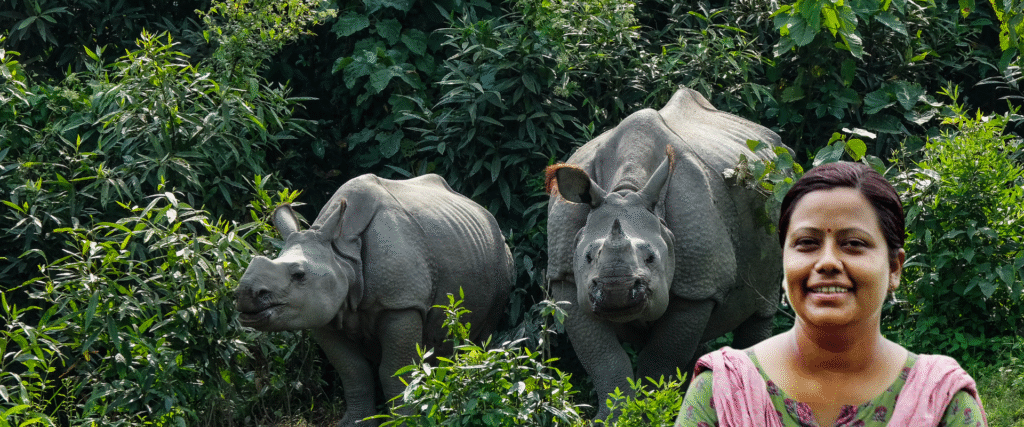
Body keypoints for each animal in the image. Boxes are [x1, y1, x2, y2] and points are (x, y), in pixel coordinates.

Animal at [235, 173, 514, 427]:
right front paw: (355, 423)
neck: (343, 255)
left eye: (299, 275)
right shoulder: (324, 313)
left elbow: (394, 371)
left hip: (501, 257)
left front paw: (403, 422)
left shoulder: (402, 303)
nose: (245, 294)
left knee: (482, 332)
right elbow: (353, 371)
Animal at [545, 88, 784, 419]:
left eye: (651, 258)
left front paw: (654, 411)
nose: (616, 290)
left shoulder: (697, 287)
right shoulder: (566, 277)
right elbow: (604, 359)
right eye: (589, 257)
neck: (625, 189)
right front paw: (612, 418)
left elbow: (660, 359)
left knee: (762, 309)